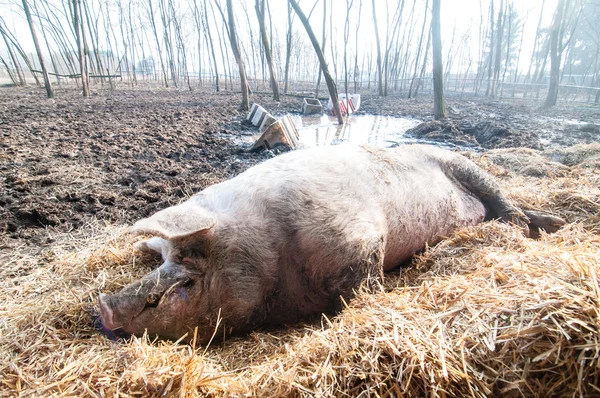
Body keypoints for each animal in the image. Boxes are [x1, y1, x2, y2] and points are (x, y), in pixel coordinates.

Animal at [97, 144, 564, 342]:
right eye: (164, 260)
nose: (102, 306)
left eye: (190, 278)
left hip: (466, 165)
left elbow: (362, 285)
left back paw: (549, 226)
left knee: (507, 206)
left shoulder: (360, 237)